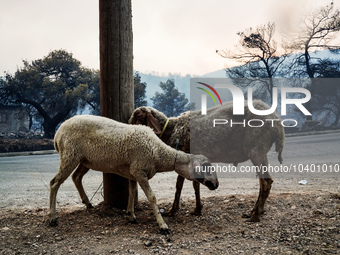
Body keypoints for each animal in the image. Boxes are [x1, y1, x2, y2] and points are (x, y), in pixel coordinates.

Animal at [47, 114, 218, 234]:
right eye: (206, 167)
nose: (216, 185)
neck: (158, 153)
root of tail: (58, 132)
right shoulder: (139, 171)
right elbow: (152, 197)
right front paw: (163, 226)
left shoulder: (133, 173)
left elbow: (132, 192)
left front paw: (131, 215)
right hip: (69, 155)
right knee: (54, 183)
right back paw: (52, 217)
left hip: (84, 160)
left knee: (76, 177)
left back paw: (88, 203)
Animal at [127, 99, 284, 221]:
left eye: (138, 116)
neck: (172, 129)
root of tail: (277, 123)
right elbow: (192, 185)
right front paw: (197, 209)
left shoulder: (185, 153)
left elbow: (181, 185)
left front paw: (173, 210)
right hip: (258, 150)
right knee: (262, 182)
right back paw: (254, 211)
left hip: (257, 147)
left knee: (266, 182)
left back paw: (255, 215)